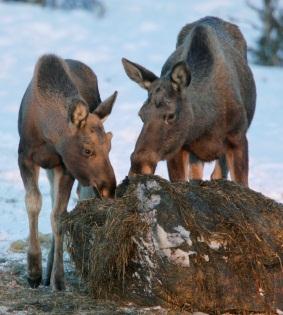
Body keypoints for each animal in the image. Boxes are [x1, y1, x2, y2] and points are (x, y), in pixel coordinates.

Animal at [18, 55, 117, 292]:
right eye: (87, 150)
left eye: (110, 146)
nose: (110, 188)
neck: (47, 135)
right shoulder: (24, 156)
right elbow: (33, 203)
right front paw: (33, 272)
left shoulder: (66, 167)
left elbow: (60, 216)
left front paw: (59, 278)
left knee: (74, 199)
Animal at [123, 16, 256, 186]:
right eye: (141, 114)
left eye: (171, 115)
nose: (138, 166)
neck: (206, 123)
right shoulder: (179, 147)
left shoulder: (237, 138)